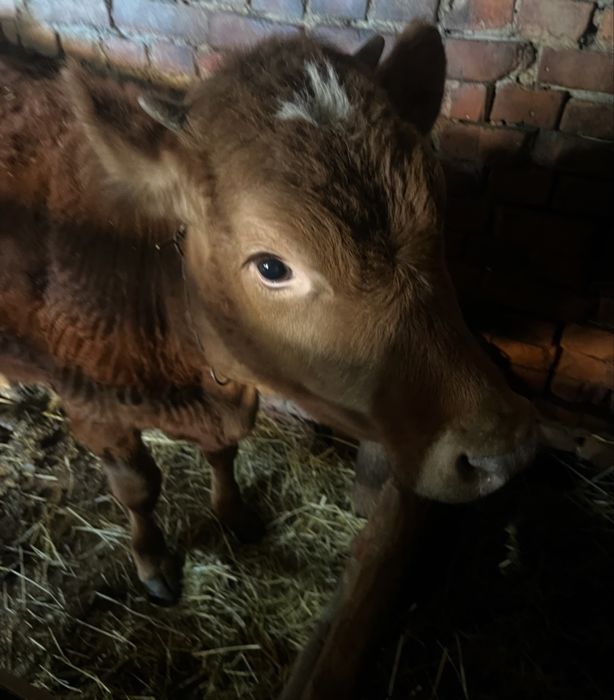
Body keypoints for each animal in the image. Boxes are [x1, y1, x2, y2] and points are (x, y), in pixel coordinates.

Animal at [1, 21, 536, 695]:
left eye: (437, 210)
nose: (501, 449)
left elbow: (225, 453)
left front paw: (236, 515)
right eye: (273, 267)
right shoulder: (95, 403)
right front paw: (154, 565)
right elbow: (138, 489)